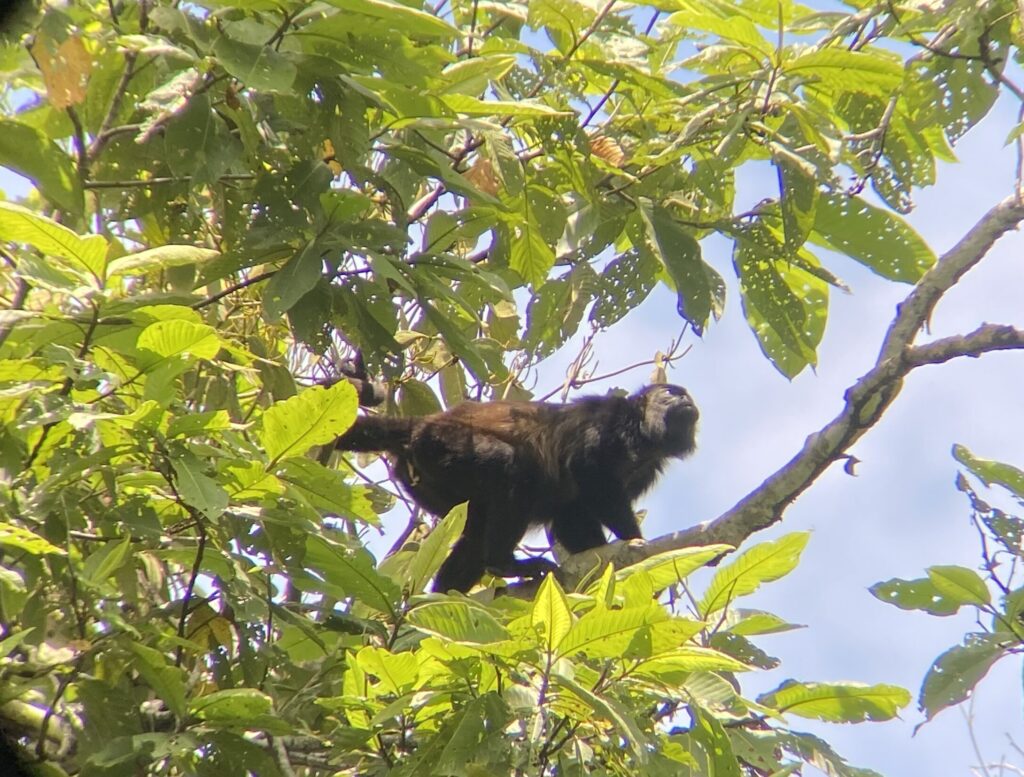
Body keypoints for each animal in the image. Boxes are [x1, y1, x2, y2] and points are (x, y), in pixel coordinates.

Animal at [335, 384, 699, 593]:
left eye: (685, 394)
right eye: (670, 392)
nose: (687, 399)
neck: (644, 440)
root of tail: (419, 426)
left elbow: (571, 512)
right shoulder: (606, 422)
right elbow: (590, 479)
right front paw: (634, 541)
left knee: (476, 530)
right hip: (444, 446)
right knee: (513, 469)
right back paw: (503, 564)